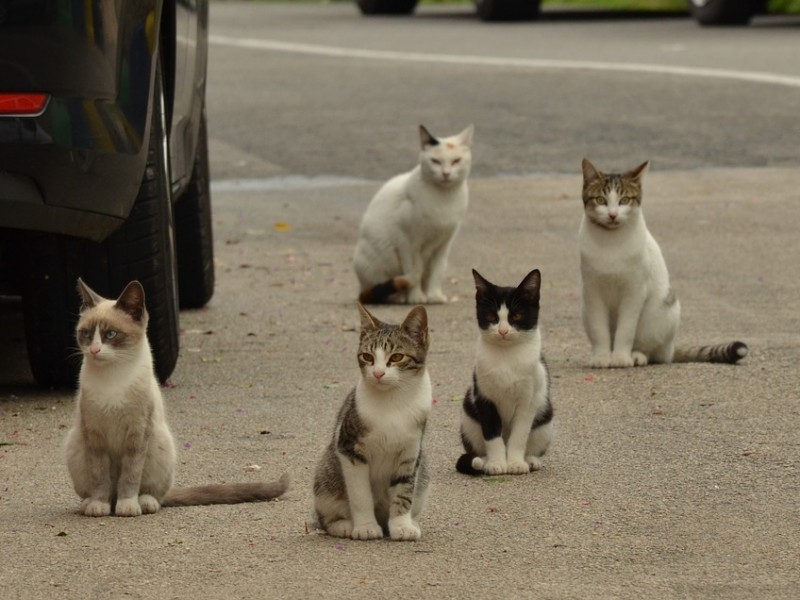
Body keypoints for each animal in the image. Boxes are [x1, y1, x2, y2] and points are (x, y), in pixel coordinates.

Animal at [65, 278, 290, 516]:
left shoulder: (137, 434)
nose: (94, 350)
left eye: (110, 334)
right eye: (86, 334)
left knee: (154, 494)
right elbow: (100, 476)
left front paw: (127, 506)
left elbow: (130, 476)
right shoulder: (94, 435)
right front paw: (99, 505)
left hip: (160, 444)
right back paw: (92, 503)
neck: (113, 377)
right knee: (105, 490)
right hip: (75, 445)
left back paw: (142, 503)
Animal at [316, 302, 434, 540]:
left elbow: (404, 490)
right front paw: (365, 527)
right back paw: (343, 525)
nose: (378, 373)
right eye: (367, 357)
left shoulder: (410, 452)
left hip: (423, 471)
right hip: (325, 477)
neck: (393, 401)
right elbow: (360, 495)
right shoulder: (349, 448)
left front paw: (401, 525)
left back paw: (410, 522)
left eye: (397, 357)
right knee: (326, 517)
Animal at [354, 125, 472, 308]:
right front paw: (416, 296)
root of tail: (361, 289)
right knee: (381, 291)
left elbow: (437, 271)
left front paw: (434, 295)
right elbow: (414, 271)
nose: (446, 173)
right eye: (435, 161)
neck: (444, 199)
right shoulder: (408, 243)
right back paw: (399, 296)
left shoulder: (444, 243)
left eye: (456, 161)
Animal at [454, 270, 552, 476]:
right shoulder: (484, 396)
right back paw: (482, 461)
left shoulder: (528, 400)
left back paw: (530, 460)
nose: (503, 331)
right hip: (468, 418)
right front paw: (497, 463)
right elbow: (492, 434)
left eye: (517, 316)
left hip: (545, 417)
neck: (506, 356)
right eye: (492, 317)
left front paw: (515, 463)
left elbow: (519, 435)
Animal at [580, 157, 748, 368]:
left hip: (662, 313)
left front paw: (620, 357)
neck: (610, 241)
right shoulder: (592, 291)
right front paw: (602, 356)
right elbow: (599, 329)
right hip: (585, 311)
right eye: (601, 200)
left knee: (655, 352)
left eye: (624, 200)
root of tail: (672, 347)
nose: (612, 215)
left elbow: (626, 330)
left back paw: (637, 355)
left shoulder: (634, 291)